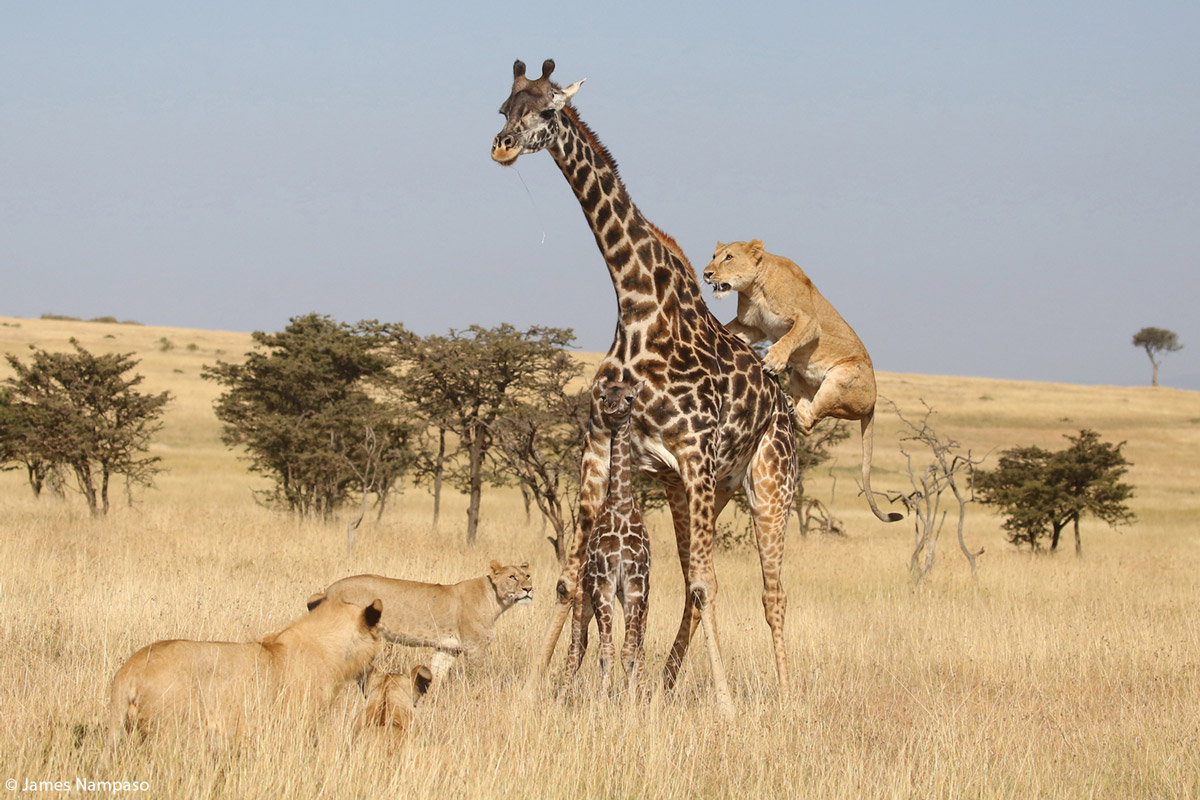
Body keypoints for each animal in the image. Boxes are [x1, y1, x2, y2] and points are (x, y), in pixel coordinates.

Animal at [566, 379, 652, 695]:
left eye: (630, 397)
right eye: (603, 395)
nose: (612, 407)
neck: (621, 504)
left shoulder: (635, 586)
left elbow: (630, 652)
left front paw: (633, 699)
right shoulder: (603, 584)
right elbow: (606, 652)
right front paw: (603, 699)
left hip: (638, 602)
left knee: (638, 646)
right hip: (582, 601)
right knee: (576, 649)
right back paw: (563, 694)